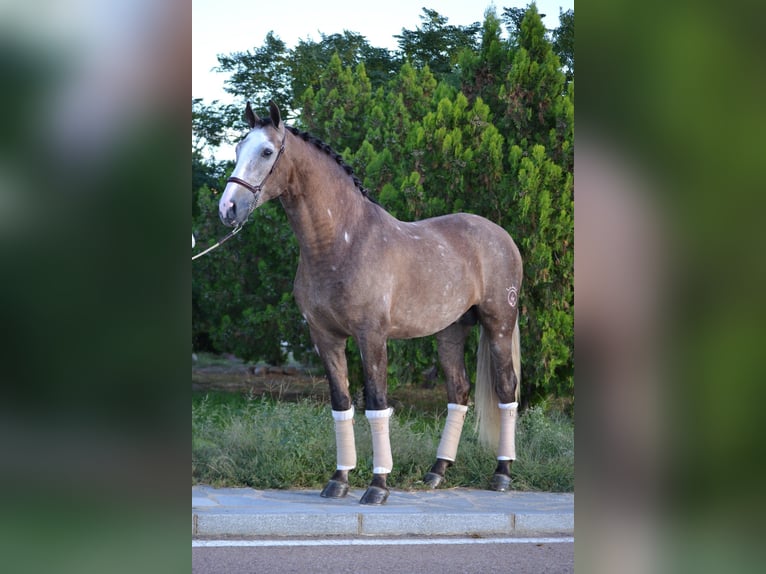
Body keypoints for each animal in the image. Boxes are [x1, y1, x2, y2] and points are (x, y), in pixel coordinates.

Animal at [219, 101, 523, 505]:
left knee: (506, 390)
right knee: (458, 392)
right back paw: (437, 471)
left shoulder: (372, 337)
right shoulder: (325, 337)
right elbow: (342, 403)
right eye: (238, 149)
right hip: (449, 332)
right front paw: (339, 479)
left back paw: (502, 473)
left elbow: (377, 404)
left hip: (499, 324)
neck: (342, 242)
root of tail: (501, 235)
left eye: (267, 152)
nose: (228, 209)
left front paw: (378, 485)